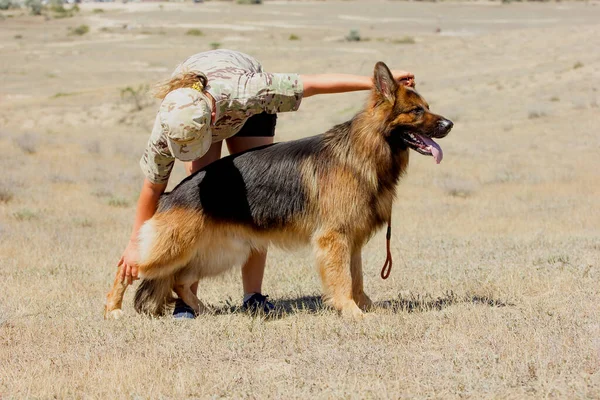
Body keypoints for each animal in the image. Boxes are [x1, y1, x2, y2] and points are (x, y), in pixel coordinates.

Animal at [104, 61, 450, 318]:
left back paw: (202, 308)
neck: (365, 148)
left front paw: (366, 307)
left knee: (180, 280)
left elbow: (357, 278)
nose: (450, 125)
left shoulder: (352, 240)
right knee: (129, 267)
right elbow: (343, 280)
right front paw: (352, 312)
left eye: (427, 107)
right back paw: (113, 308)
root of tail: (171, 194)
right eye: (417, 111)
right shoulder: (335, 238)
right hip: (174, 249)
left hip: (222, 251)